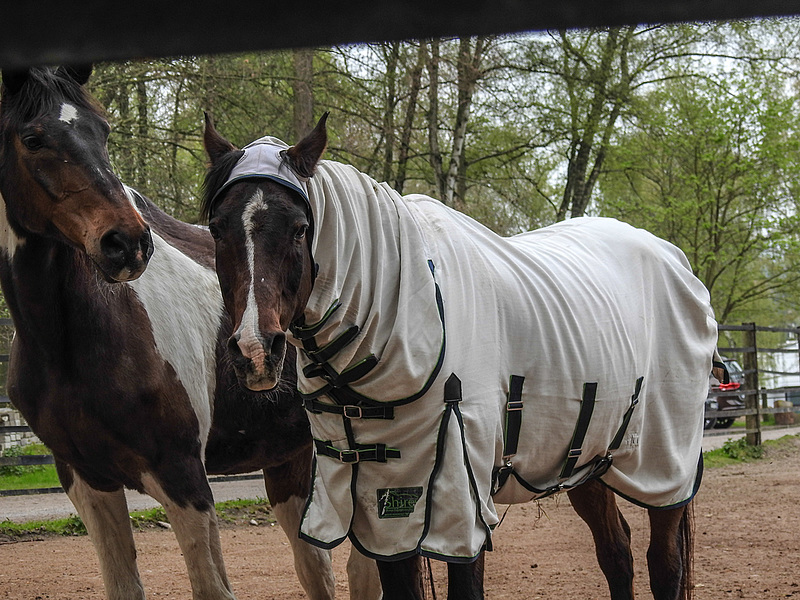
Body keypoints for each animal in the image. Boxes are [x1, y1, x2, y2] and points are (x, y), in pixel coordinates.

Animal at [0, 68, 380, 600]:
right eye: (32, 139)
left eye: (103, 131)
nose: (127, 243)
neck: (74, 337)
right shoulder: (86, 479)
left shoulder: (183, 478)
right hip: (291, 460)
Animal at [200, 113, 720, 600]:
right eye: (217, 228)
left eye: (300, 228)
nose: (254, 351)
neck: (409, 312)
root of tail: (675, 260)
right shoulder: (383, 510)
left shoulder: (460, 503)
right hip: (585, 463)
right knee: (617, 553)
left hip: (663, 466)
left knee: (664, 562)